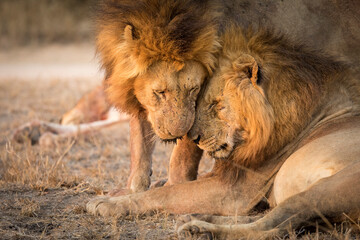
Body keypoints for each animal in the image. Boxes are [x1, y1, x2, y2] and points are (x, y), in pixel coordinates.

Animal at [86, 25, 360, 237]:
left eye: (216, 104)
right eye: (198, 100)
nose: (194, 138)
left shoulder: (234, 189)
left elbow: (166, 193)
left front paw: (107, 203)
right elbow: (171, 189)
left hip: (329, 188)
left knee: (274, 228)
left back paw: (200, 229)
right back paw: (195, 219)